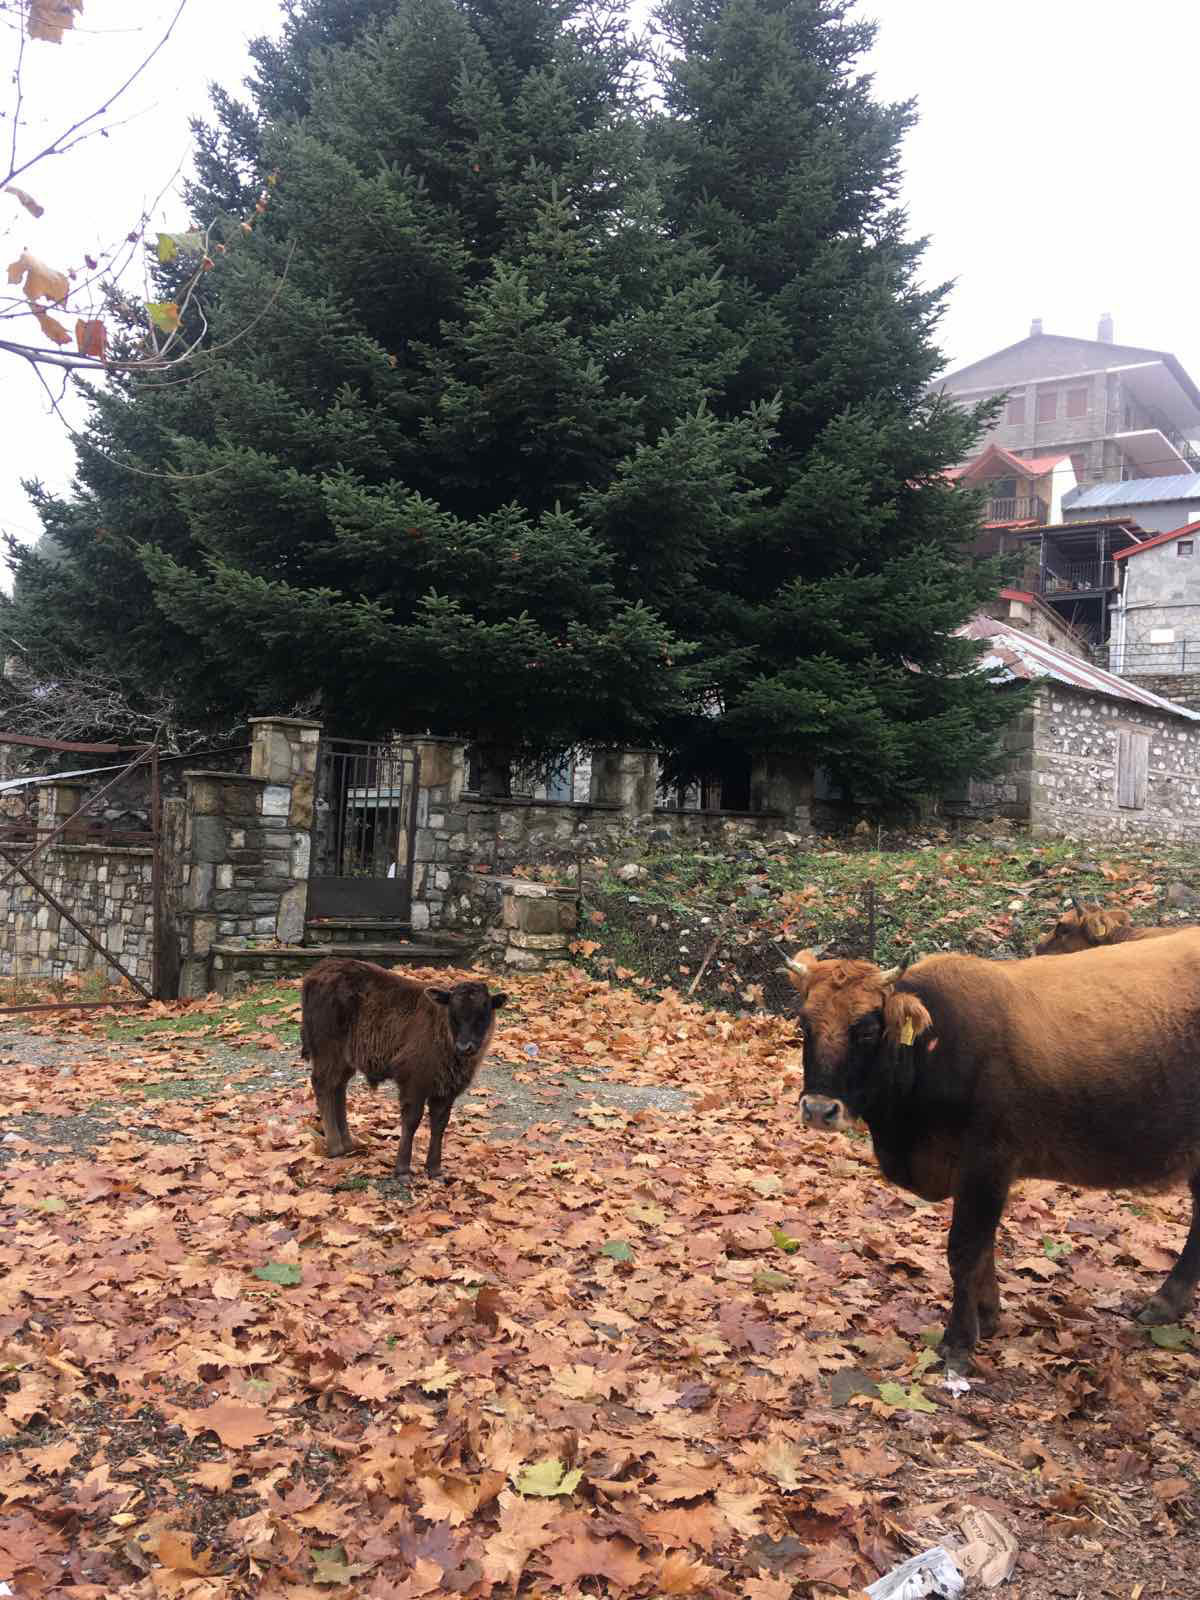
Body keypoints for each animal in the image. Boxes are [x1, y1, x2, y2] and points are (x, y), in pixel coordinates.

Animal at [302, 953, 508, 1184]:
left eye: (483, 1013)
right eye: (453, 1013)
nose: (465, 1047)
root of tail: (318, 971)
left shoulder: (447, 1090)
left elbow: (440, 1124)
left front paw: (435, 1170)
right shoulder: (413, 1082)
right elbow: (411, 1121)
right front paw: (402, 1170)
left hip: (345, 1058)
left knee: (338, 1087)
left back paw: (348, 1144)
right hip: (327, 1050)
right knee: (323, 1084)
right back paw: (336, 1147)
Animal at [784, 934, 1200, 1376]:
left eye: (865, 1030)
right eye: (804, 1024)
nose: (818, 1109)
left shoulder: (988, 1162)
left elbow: (965, 1249)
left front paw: (959, 1340)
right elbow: (983, 1247)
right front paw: (987, 1314)